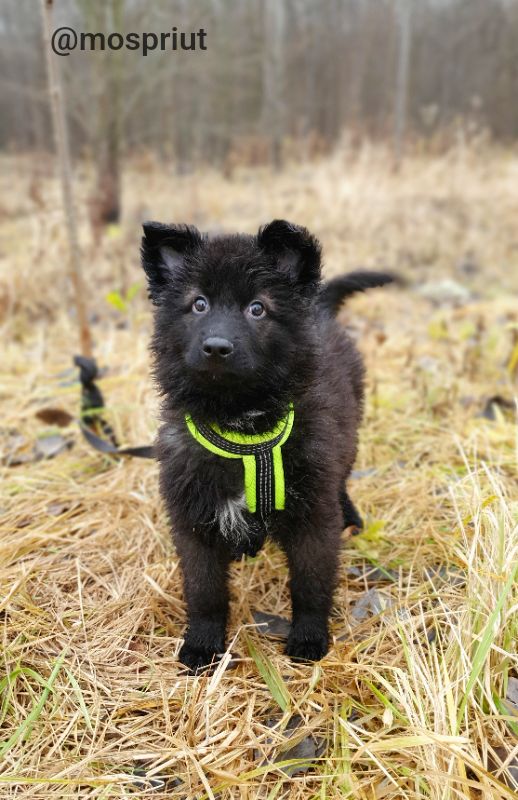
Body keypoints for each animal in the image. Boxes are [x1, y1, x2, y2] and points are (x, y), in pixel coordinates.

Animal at [142, 220, 394, 668]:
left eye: (257, 308)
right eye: (198, 305)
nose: (217, 347)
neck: (244, 430)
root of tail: (319, 308)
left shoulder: (313, 517)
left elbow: (310, 584)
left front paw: (309, 638)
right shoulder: (193, 518)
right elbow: (204, 590)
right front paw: (202, 644)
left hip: (347, 441)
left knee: (342, 478)